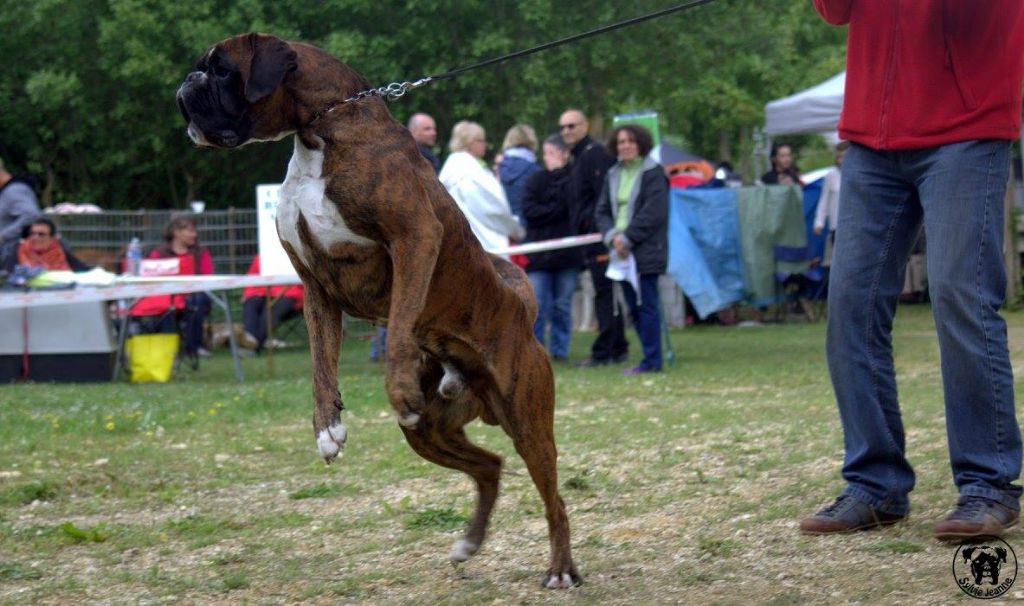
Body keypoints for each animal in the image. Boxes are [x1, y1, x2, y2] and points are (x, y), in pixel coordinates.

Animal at [174, 31, 577, 585]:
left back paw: (560, 569)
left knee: (554, 499)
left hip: (529, 422)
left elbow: (402, 322)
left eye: (219, 70)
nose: (186, 83)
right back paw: (470, 542)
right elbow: (321, 365)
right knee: (490, 467)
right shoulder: (315, 288)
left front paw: (398, 386)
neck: (321, 133)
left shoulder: (415, 238)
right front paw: (327, 428)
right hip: (429, 432)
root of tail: (519, 308)